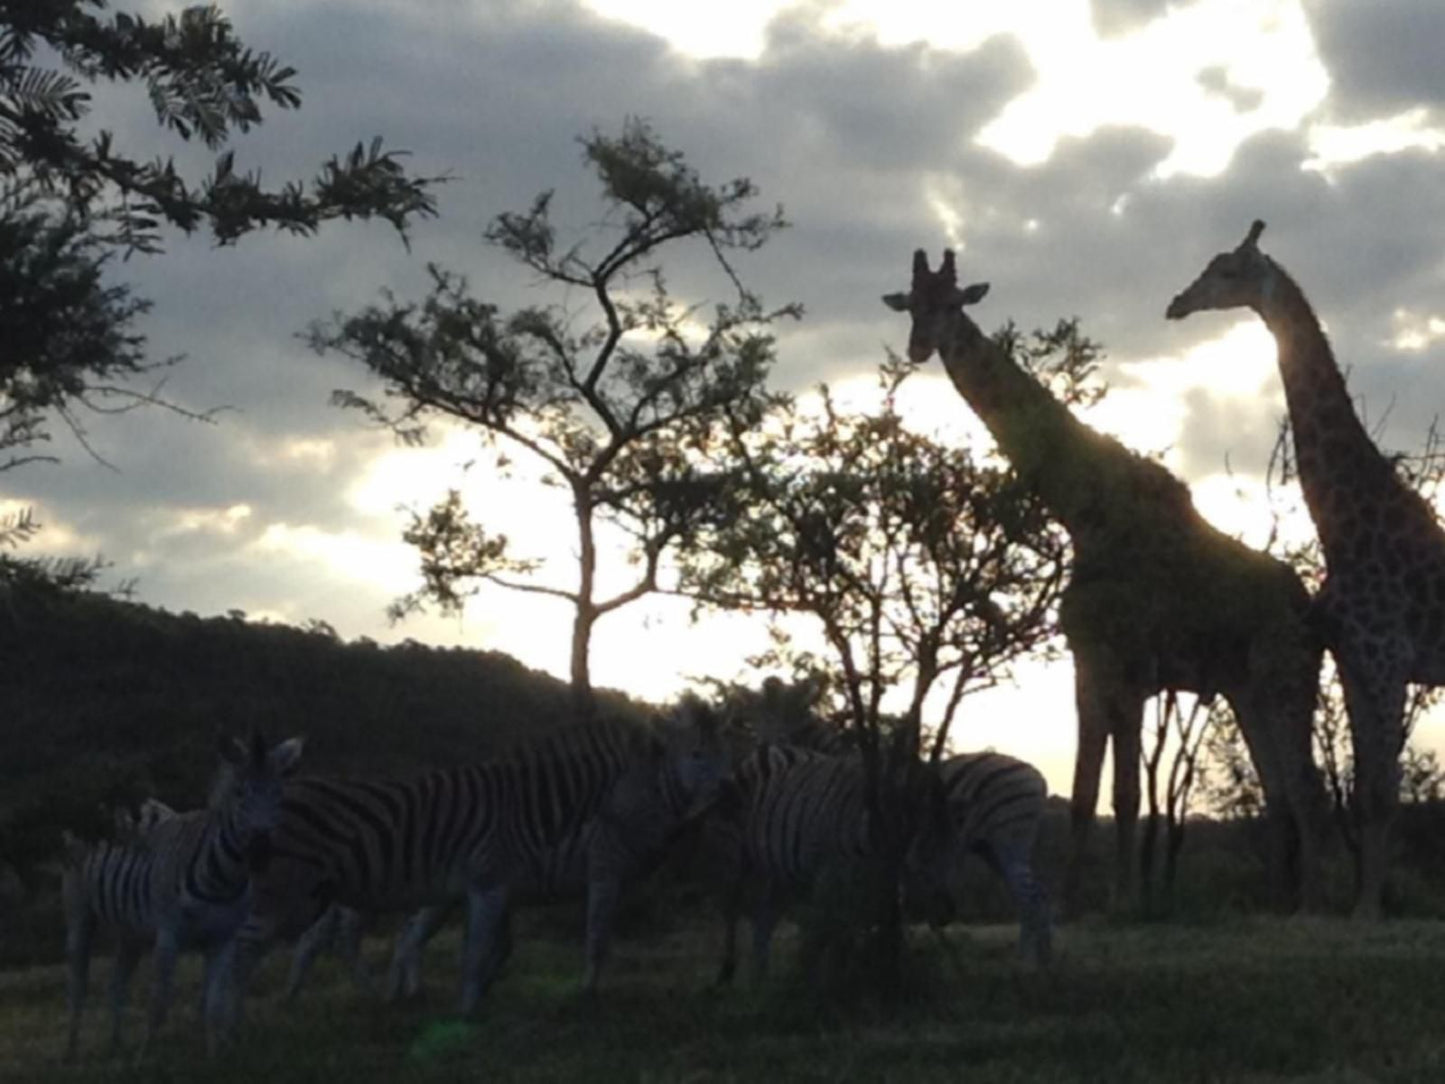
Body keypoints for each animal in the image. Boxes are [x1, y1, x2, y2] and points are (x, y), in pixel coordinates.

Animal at [62, 731, 304, 1063]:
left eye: (278, 794)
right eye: (239, 794)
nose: (260, 852)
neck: (222, 879)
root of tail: (112, 799)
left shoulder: (223, 939)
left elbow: (214, 1005)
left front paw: (214, 1057)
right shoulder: (168, 933)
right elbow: (159, 1003)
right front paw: (144, 1057)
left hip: (132, 929)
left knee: (117, 982)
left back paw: (116, 1044)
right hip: (80, 909)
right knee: (79, 983)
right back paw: (72, 1051)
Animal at [244, 708, 734, 1017]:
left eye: (726, 752)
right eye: (696, 755)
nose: (727, 795)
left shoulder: (507, 885)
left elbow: (499, 947)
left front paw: (483, 995)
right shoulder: (602, 871)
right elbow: (595, 939)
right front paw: (586, 996)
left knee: (389, 936)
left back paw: (389, 995)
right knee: (330, 937)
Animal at [878, 248, 1329, 919]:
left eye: (953, 302)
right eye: (911, 304)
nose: (920, 346)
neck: (1084, 513)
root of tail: (1310, 608)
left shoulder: (1135, 667)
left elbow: (1125, 794)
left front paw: (1126, 903)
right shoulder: (1087, 663)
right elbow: (1086, 791)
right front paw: (1070, 904)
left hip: (1287, 675)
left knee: (1307, 785)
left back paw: (1316, 903)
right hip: (1245, 686)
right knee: (1278, 789)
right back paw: (1278, 901)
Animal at [901, 757, 1051, 965]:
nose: (944, 916)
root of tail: (1038, 777)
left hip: (1008, 839)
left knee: (1029, 897)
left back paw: (1026, 963)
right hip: (991, 849)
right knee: (1038, 892)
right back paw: (1046, 959)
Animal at [1167, 221, 1445, 919]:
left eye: (1228, 269)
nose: (1177, 303)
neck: (1343, 527)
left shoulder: (1384, 660)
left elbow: (1380, 795)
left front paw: (1368, 910)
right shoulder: (1354, 662)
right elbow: (1368, 792)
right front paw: (1362, 904)